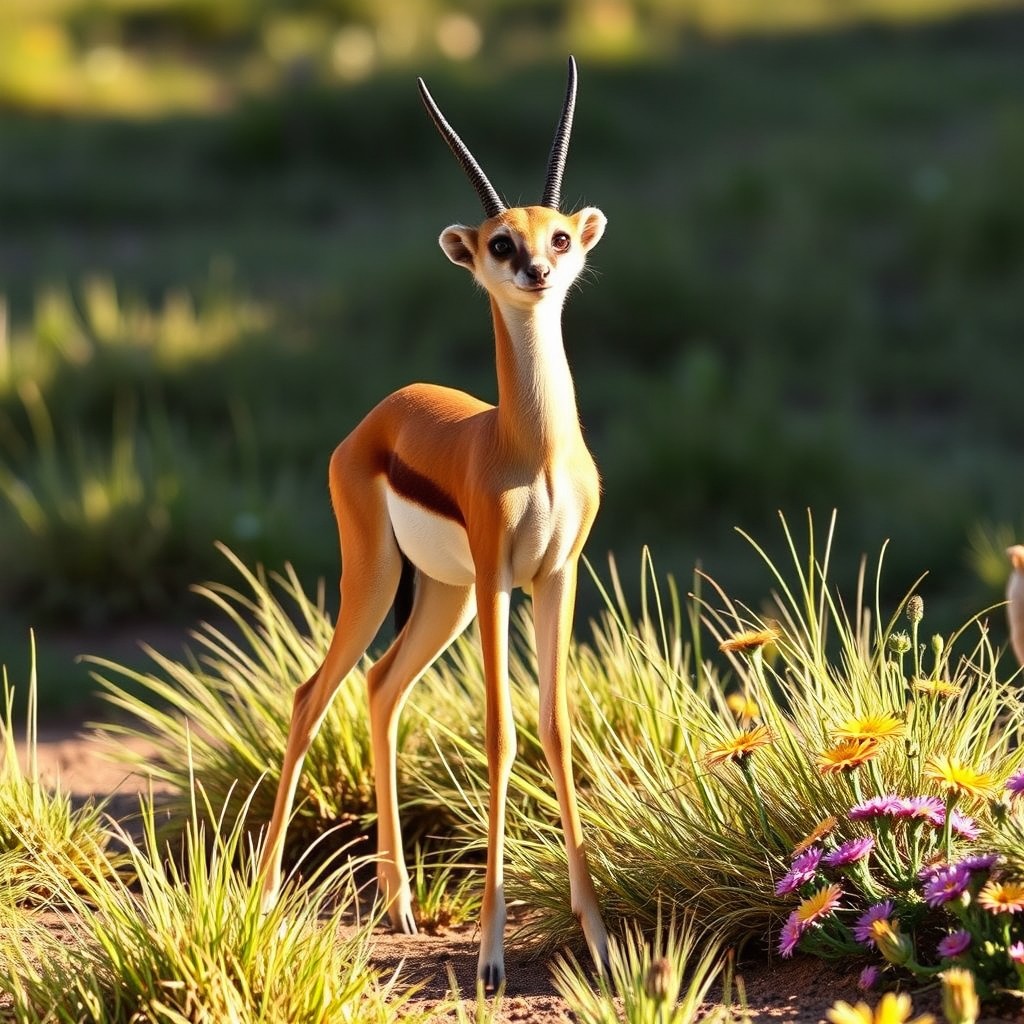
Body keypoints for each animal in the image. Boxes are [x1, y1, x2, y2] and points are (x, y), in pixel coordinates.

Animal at [257, 57, 609, 989]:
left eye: (559, 237)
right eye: (500, 242)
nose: (535, 272)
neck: (530, 448)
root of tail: (380, 417)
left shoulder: (556, 577)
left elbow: (556, 728)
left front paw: (598, 938)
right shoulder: (498, 579)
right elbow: (501, 733)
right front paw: (489, 957)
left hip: (441, 600)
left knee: (380, 687)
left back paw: (401, 904)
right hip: (380, 581)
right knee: (313, 693)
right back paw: (264, 899)